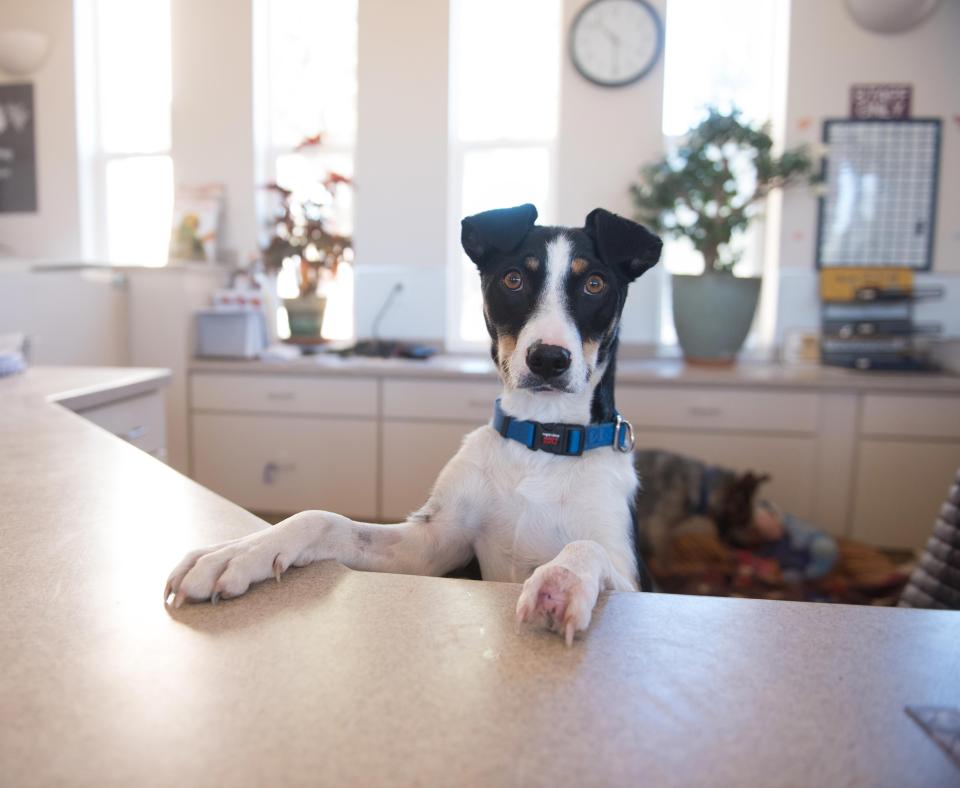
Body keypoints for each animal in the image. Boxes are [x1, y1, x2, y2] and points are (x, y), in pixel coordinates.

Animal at [165, 205, 660, 648]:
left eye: (594, 283)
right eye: (513, 279)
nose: (549, 360)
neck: (542, 441)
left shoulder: (631, 576)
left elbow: (588, 546)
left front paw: (560, 581)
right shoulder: (431, 546)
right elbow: (321, 519)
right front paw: (239, 552)